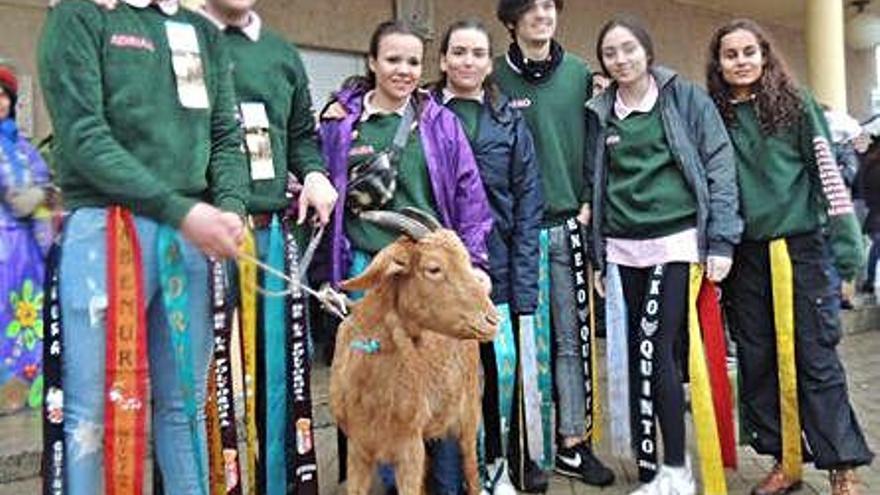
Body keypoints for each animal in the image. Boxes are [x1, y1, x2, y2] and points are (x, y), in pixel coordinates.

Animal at [328, 210, 498, 495]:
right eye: (433, 268)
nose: (492, 320)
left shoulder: (408, 448)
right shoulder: (358, 450)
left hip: (469, 412)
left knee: (472, 472)